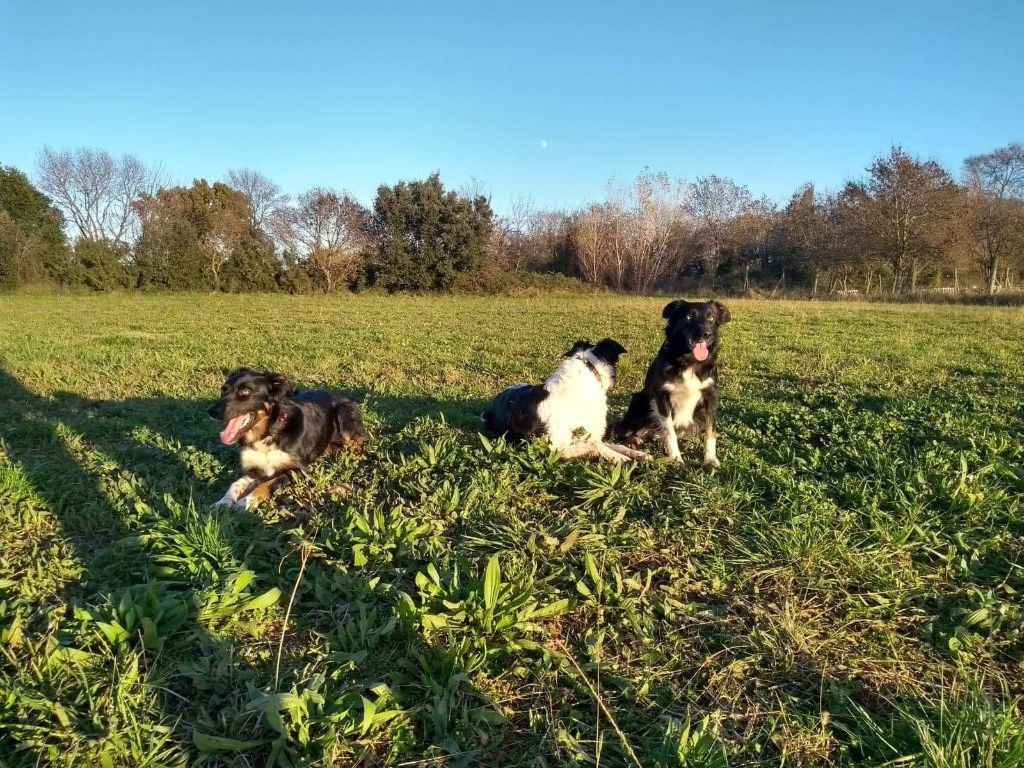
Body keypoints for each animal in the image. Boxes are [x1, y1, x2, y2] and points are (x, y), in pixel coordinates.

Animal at [207, 368, 368, 512]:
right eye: (223, 390)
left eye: (245, 392)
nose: (211, 411)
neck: (268, 435)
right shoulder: (254, 470)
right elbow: (234, 484)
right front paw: (222, 502)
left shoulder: (297, 470)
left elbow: (266, 483)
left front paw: (246, 501)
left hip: (344, 414)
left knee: (360, 443)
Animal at [606, 299, 729, 468]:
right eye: (689, 316)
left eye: (711, 318)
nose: (706, 334)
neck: (689, 361)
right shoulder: (661, 397)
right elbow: (669, 431)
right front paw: (676, 457)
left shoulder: (710, 396)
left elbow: (711, 432)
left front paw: (710, 459)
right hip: (640, 400)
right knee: (626, 430)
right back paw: (635, 440)